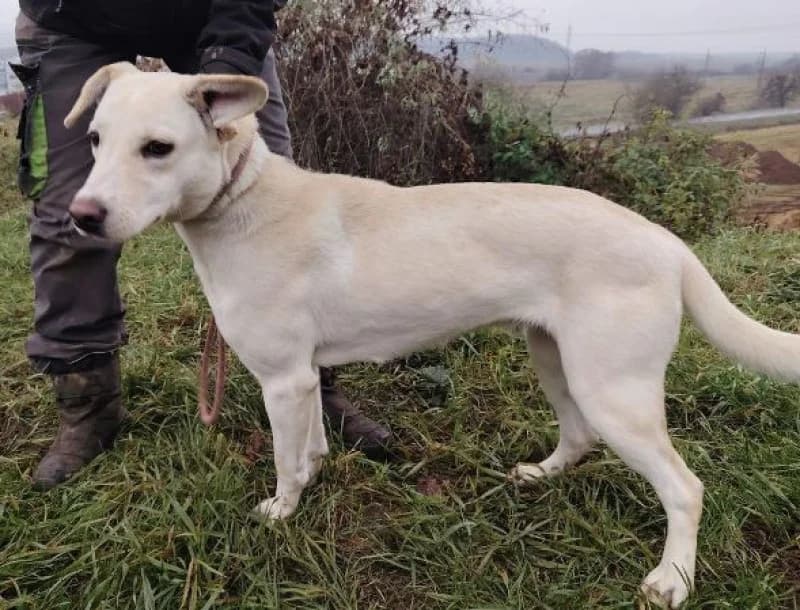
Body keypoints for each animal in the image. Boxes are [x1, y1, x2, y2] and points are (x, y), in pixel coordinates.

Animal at [63, 62, 800, 608]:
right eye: (95, 140)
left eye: (158, 149)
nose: (81, 216)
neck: (240, 200)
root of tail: (667, 241)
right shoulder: (304, 380)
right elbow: (312, 445)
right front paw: (315, 475)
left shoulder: (283, 380)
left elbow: (284, 461)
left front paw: (281, 512)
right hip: (558, 362)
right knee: (579, 436)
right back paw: (540, 475)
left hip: (614, 391)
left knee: (685, 489)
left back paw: (672, 581)